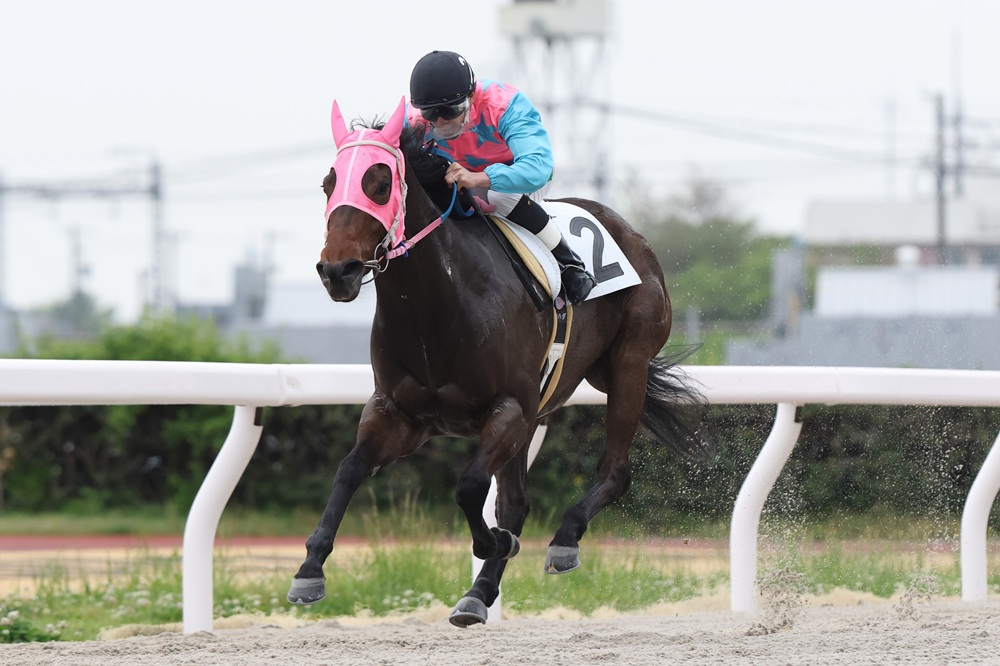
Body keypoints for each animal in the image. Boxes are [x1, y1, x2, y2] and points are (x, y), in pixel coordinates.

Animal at [287, 97, 711, 627]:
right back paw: (479, 592)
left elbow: (470, 487)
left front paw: (495, 543)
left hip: (625, 365)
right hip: (552, 399)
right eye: (329, 183)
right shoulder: (400, 415)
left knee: (614, 472)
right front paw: (310, 569)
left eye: (380, 182)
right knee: (516, 501)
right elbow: (348, 469)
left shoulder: (508, 408)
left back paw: (563, 541)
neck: (436, 305)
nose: (336, 271)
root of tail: (629, 232)